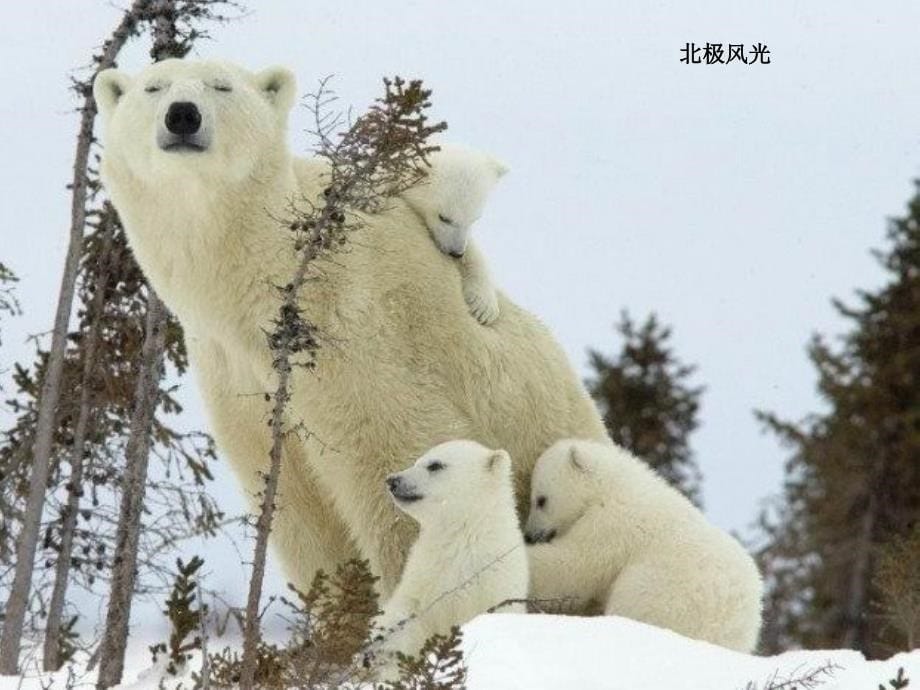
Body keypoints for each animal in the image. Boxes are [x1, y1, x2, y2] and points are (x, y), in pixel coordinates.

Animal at [95, 60, 612, 592]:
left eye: (222, 86)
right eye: (153, 87)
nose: (182, 115)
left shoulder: (356, 333)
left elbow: (397, 460)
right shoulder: (236, 373)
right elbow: (299, 508)